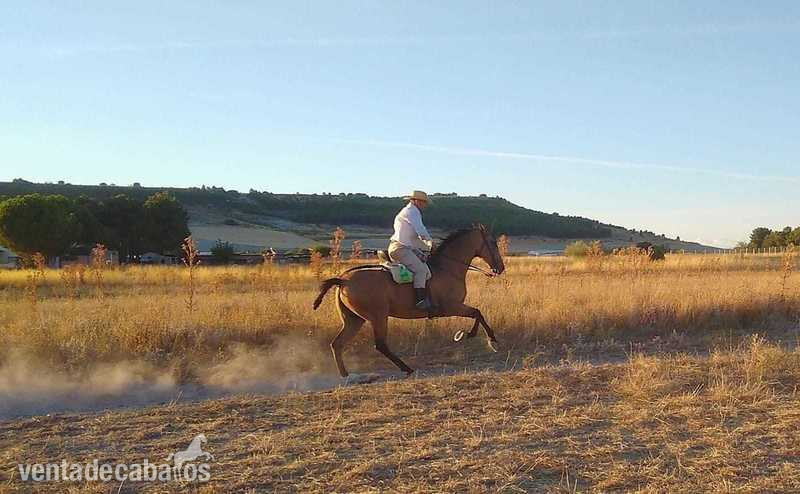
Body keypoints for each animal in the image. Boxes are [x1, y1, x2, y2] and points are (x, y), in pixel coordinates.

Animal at [312, 224, 505, 377]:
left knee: (337, 344)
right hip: (378, 317)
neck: (447, 268)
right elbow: (477, 313)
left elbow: (477, 314)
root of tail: (343, 280)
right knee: (380, 345)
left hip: (354, 320)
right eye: (493, 243)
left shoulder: (453, 307)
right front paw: (489, 340)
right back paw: (407, 368)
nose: (501, 268)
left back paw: (345, 375)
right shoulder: (451, 307)